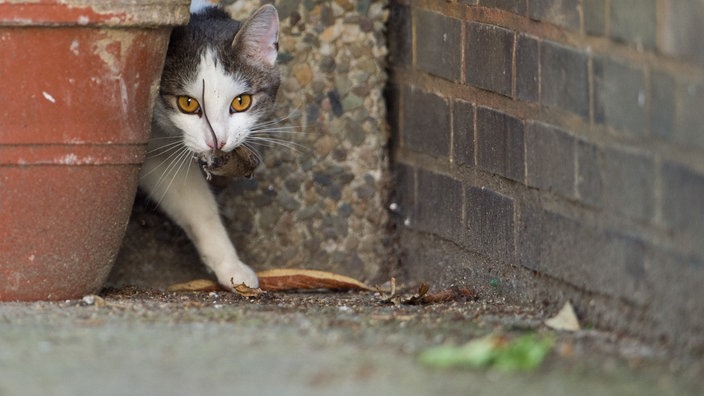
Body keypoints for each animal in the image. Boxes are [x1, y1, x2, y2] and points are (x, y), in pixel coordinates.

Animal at [138, 0, 280, 290]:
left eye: (241, 102)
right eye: (187, 103)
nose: (218, 141)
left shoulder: (162, 156)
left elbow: (198, 208)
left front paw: (230, 267)